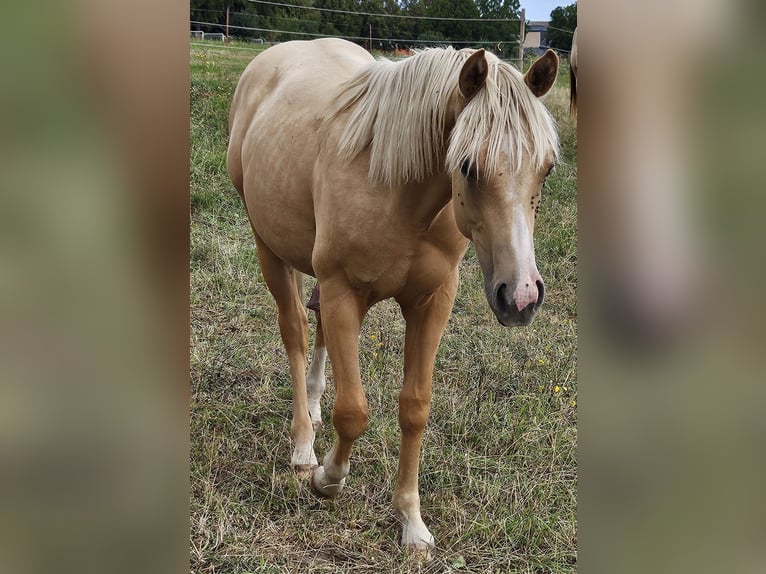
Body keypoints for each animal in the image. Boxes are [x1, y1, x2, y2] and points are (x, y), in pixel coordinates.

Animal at [227, 38, 559, 557]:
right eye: (467, 165)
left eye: (546, 169)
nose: (522, 296)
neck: (397, 189)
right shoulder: (344, 293)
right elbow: (353, 411)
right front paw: (327, 478)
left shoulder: (432, 301)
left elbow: (415, 408)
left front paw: (411, 521)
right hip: (270, 249)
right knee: (296, 331)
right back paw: (303, 445)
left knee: (315, 331)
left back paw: (314, 410)